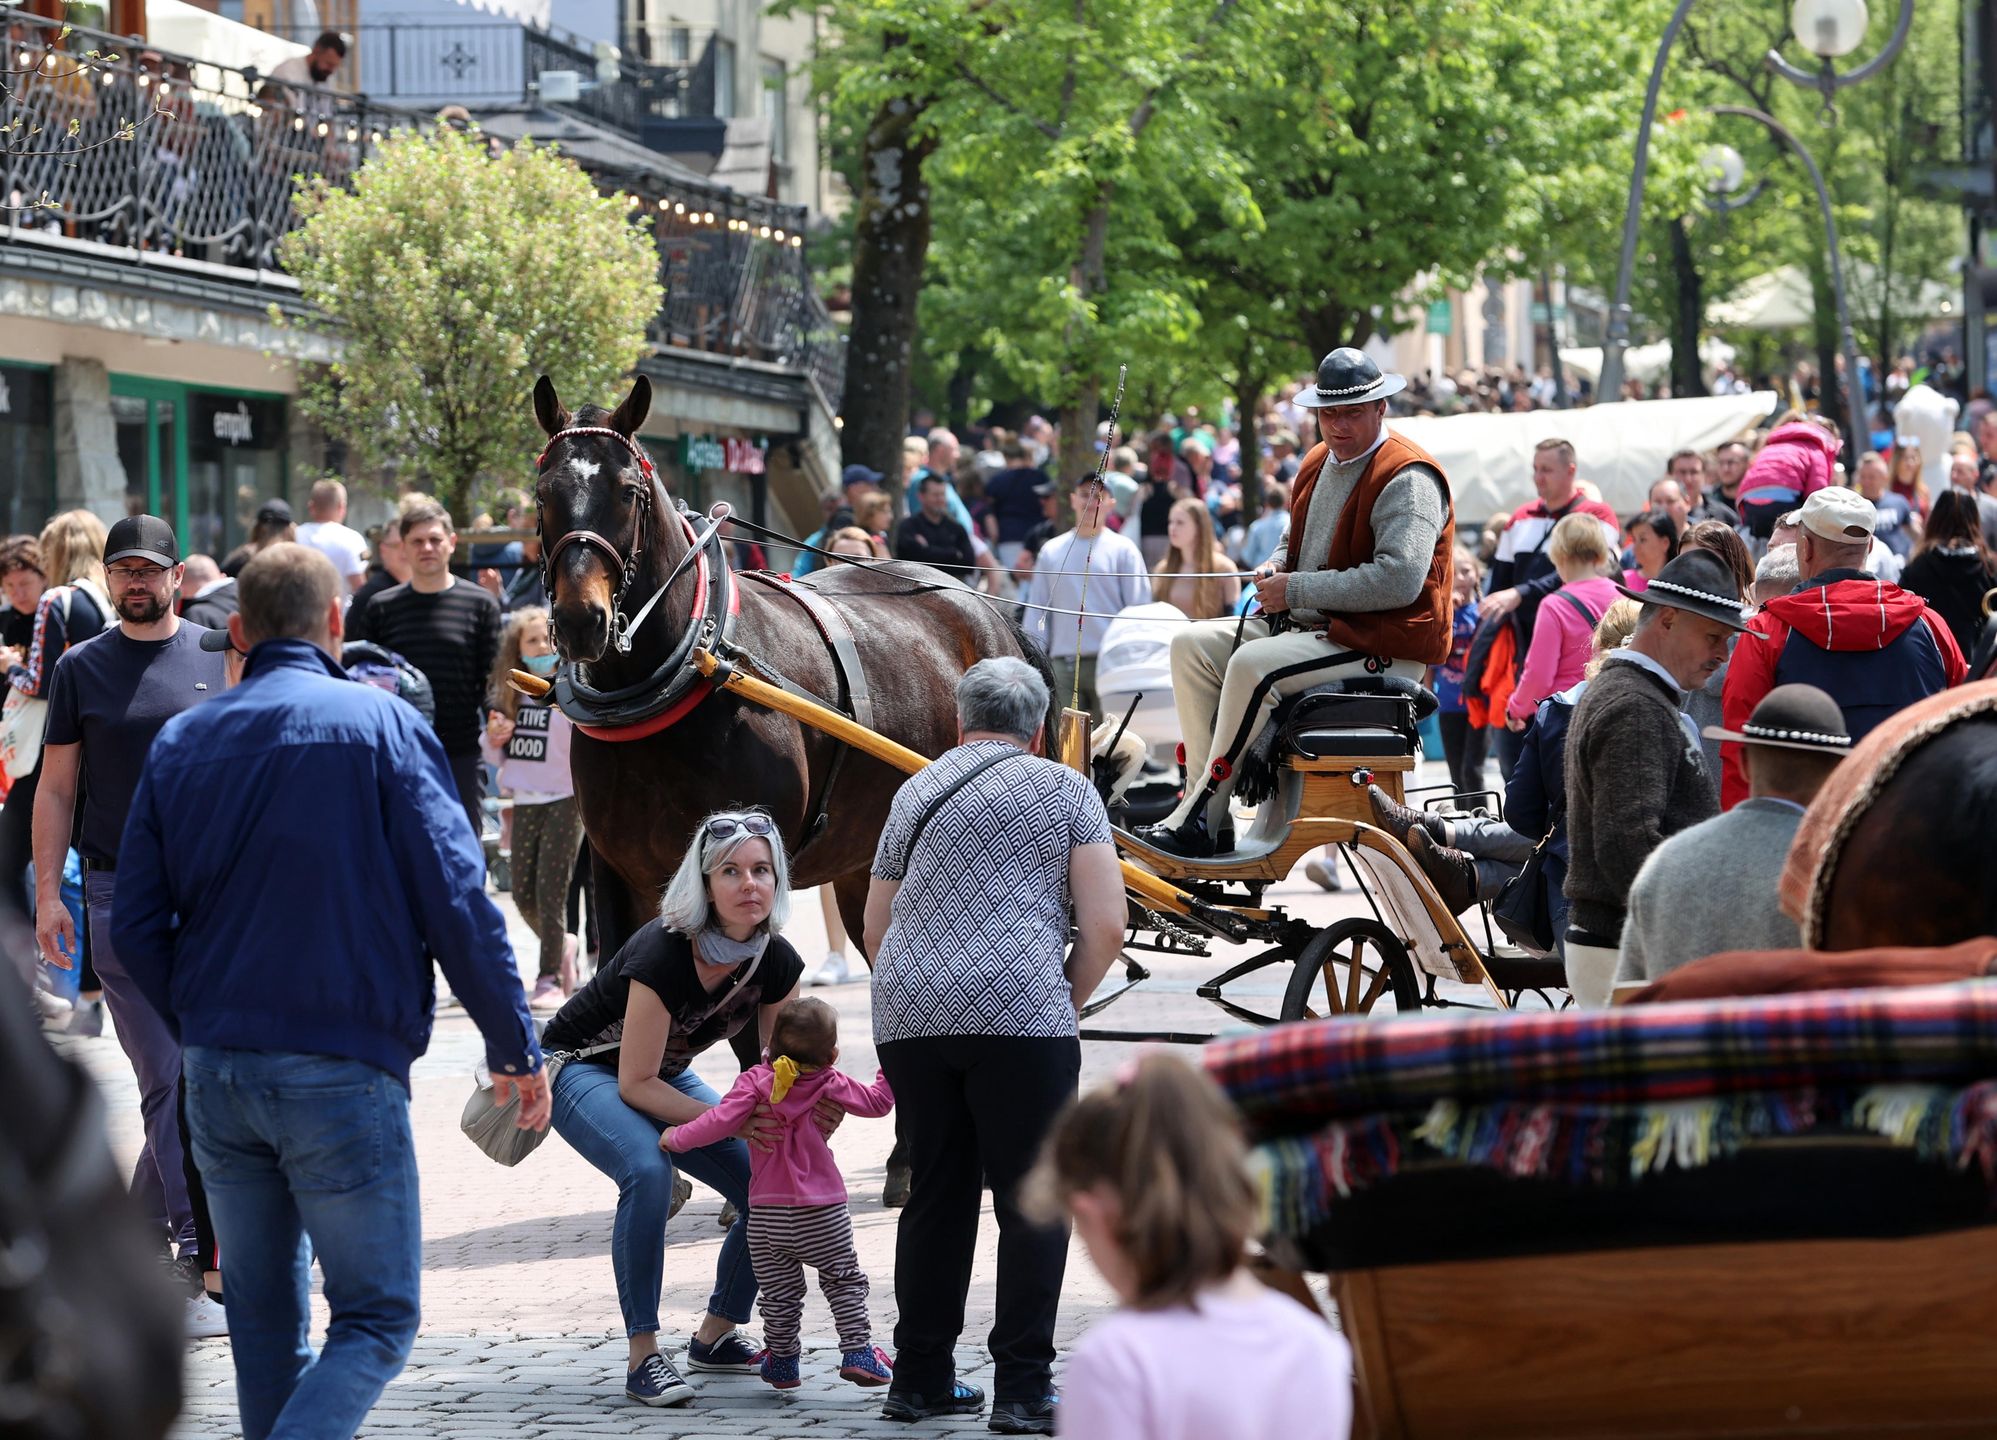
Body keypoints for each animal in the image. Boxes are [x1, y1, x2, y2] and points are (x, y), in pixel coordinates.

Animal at [531, 371, 1062, 982]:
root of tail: (987, 609)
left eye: (625, 491)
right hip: (866, 860)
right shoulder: (619, 875)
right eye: (543, 493)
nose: (581, 620)